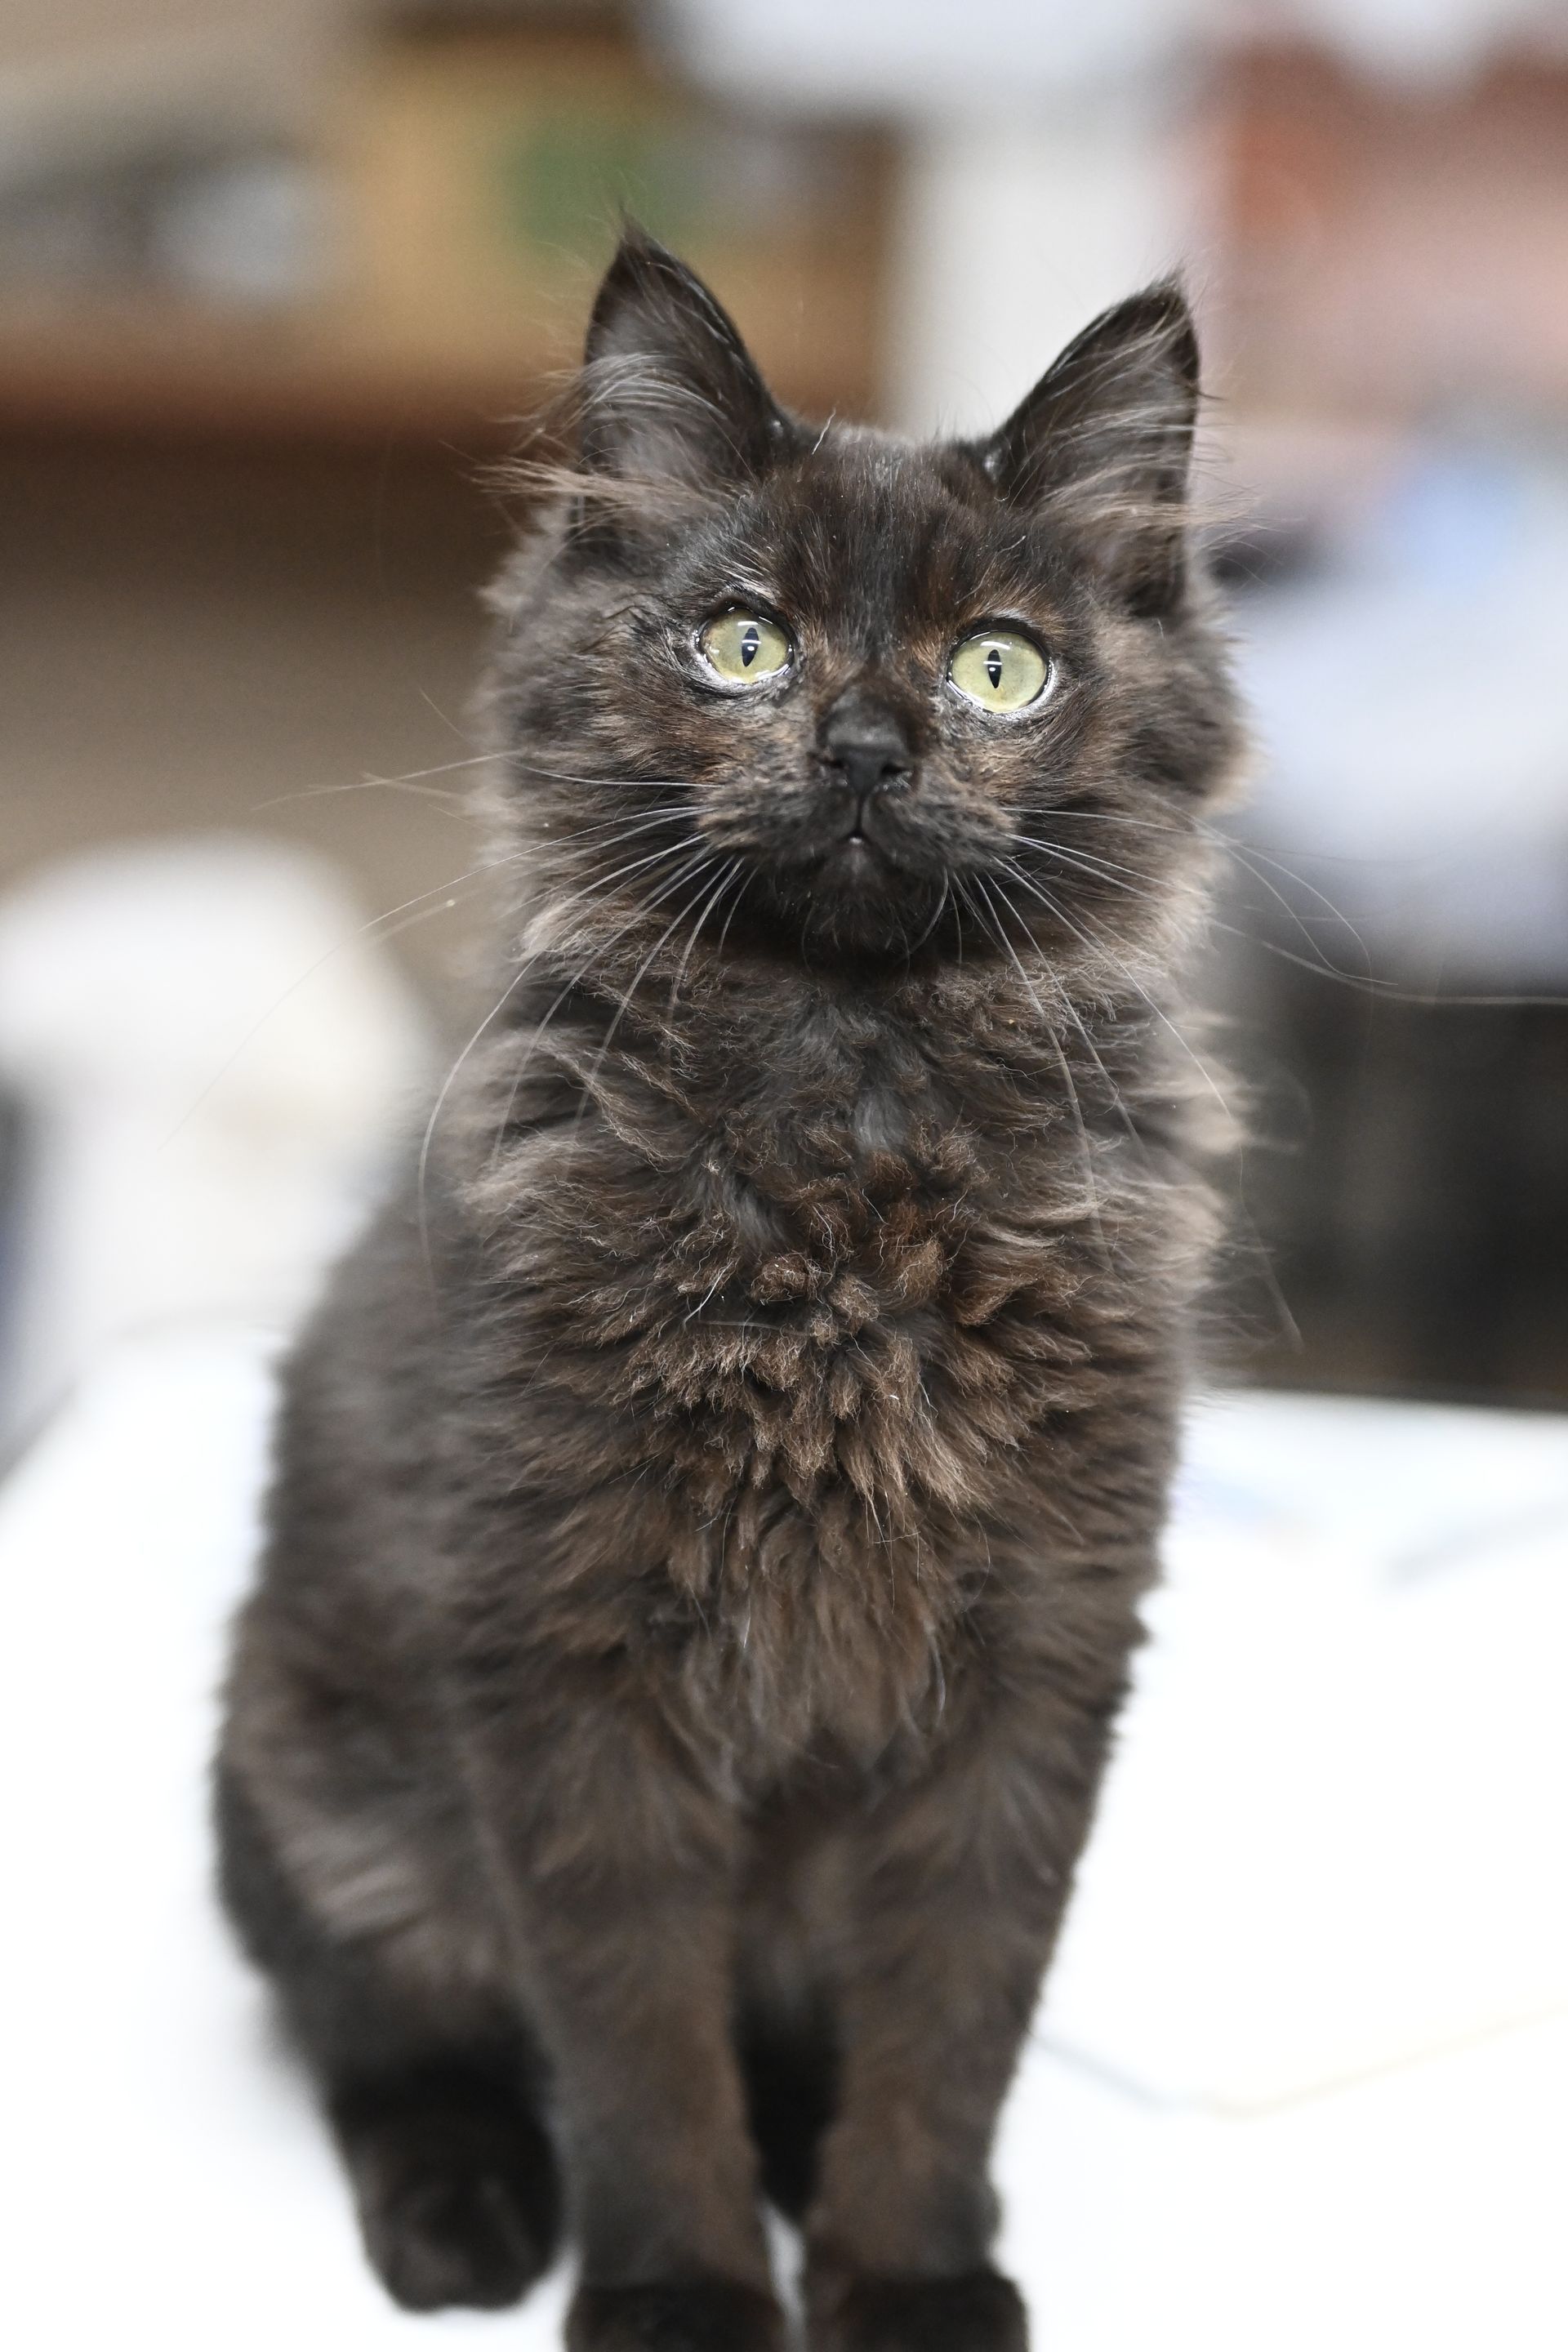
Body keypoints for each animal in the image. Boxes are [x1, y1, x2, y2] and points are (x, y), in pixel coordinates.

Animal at [217, 234, 1241, 2352]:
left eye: (998, 667)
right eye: (745, 646)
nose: (863, 749)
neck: (848, 1139)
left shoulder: (1037, 1657)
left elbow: (948, 2035)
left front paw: (911, 2273)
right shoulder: (563, 1655)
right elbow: (632, 2049)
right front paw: (682, 2294)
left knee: (795, 2046)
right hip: (325, 1794)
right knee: (388, 2036)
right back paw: (460, 2207)